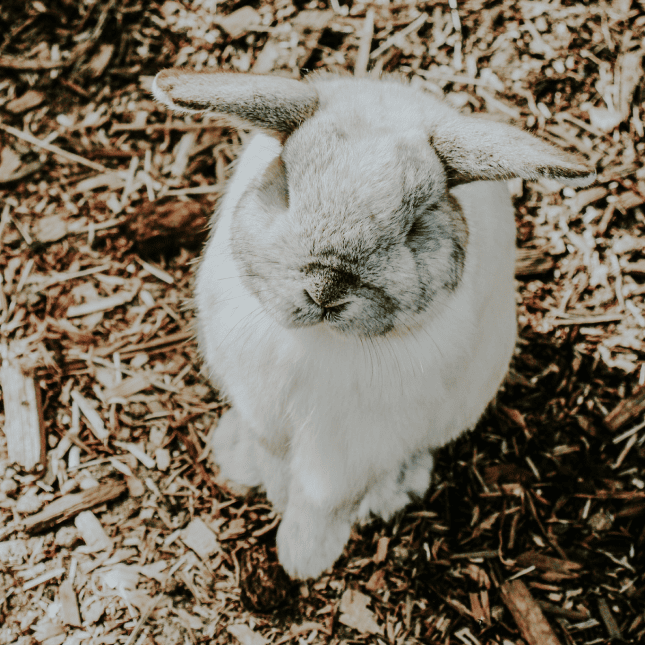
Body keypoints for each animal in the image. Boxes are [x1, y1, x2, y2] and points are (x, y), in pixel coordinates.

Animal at [152, 70, 595, 579]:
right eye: (288, 191)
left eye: (415, 225)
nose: (325, 289)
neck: (322, 340)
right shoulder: (263, 406)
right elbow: (277, 460)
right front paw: (278, 499)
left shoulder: (354, 445)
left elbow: (323, 499)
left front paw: (303, 559)